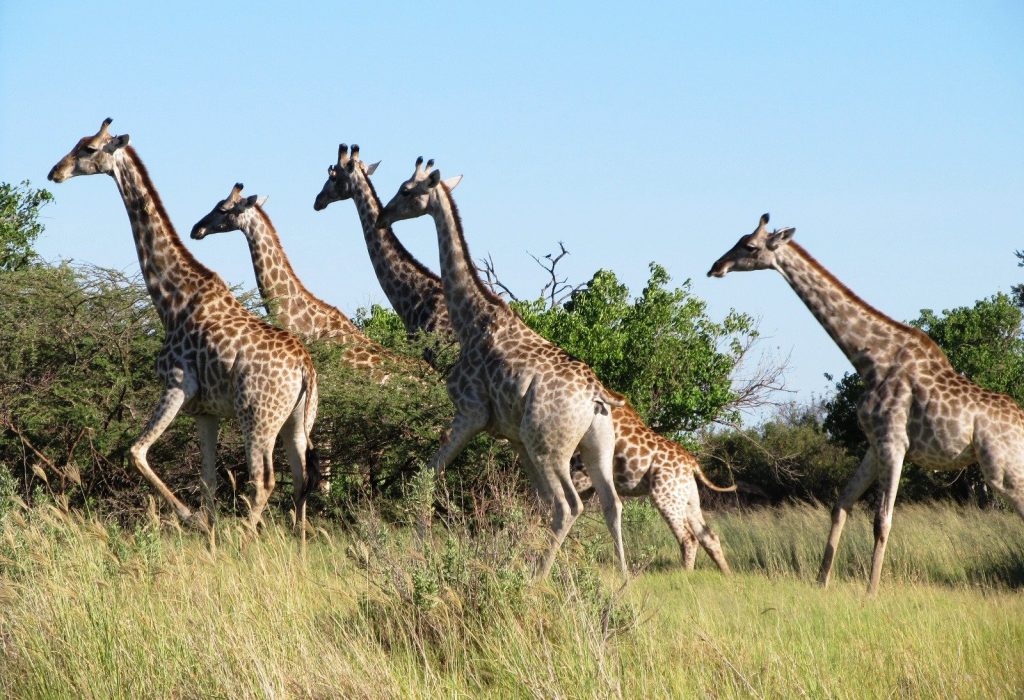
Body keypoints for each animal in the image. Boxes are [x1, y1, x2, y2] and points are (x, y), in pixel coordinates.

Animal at [48, 119, 321, 535]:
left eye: (89, 148)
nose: (55, 172)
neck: (172, 299)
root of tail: (305, 367)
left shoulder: (177, 384)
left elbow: (136, 451)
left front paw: (191, 518)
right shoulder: (205, 410)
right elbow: (208, 481)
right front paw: (207, 532)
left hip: (257, 415)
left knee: (263, 482)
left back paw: (244, 541)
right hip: (297, 420)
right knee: (301, 479)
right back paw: (297, 545)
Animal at [377, 157, 629, 579]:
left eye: (406, 189)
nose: (384, 215)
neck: (471, 319)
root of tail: (596, 396)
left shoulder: (471, 412)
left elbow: (427, 475)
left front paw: (420, 553)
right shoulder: (514, 437)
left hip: (551, 447)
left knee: (570, 505)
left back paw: (537, 578)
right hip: (595, 446)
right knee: (610, 502)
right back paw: (623, 581)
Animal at [708, 213, 1024, 594]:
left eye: (750, 246)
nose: (715, 267)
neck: (871, 361)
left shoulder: (894, 443)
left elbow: (882, 520)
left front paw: (871, 591)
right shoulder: (873, 445)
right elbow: (841, 504)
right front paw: (821, 581)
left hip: (1001, 469)